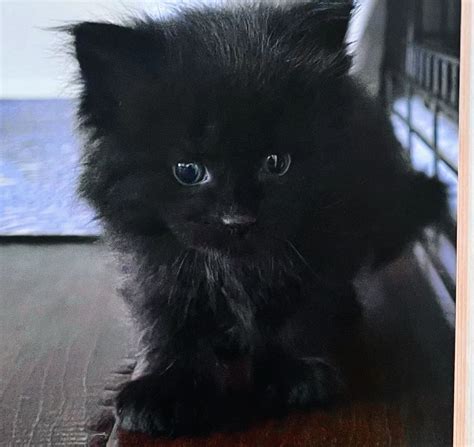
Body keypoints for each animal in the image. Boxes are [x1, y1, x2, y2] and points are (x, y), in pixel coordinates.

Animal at [68, 0, 446, 440]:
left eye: (276, 163)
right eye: (187, 170)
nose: (238, 218)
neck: (236, 269)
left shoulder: (321, 249)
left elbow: (299, 310)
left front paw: (295, 374)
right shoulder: (153, 265)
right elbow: (166, 322)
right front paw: (165, 388)